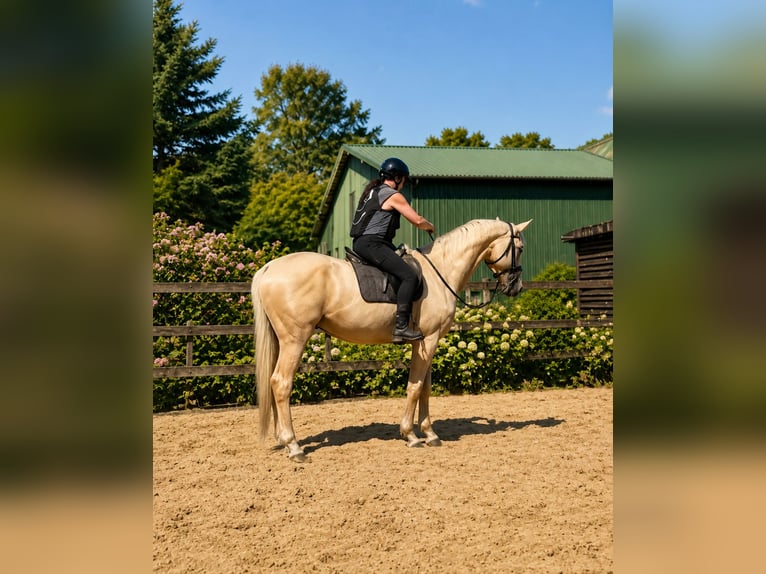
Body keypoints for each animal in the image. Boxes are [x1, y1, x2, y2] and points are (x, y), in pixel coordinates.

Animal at [251, 218, 532, 461]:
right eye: (519, 248)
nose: (516, 287)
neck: (440, 271)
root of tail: (269, 268)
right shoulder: (428, 341)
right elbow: (415, 387)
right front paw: (411, 435)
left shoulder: (424, 343)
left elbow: (425, 388)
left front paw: (429, 433)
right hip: (295, 340)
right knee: (281, 383)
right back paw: (294, 445)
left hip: (280, 341)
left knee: (273, 382)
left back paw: (282, 439)